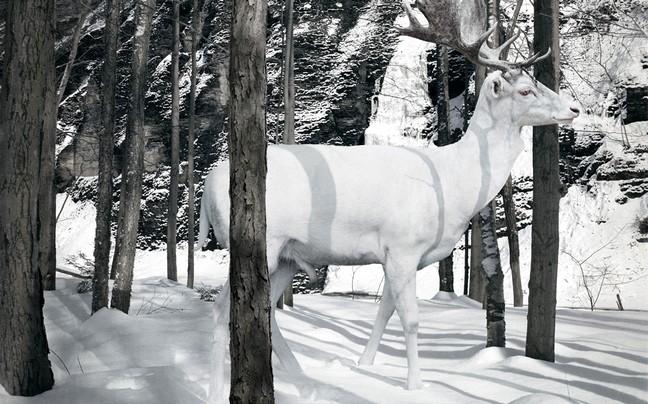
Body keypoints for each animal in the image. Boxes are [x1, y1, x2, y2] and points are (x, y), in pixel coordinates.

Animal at [204, 0, 584, 400]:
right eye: (525, 90)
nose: (574, 109)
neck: (454, 186)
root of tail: (209, 184)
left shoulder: (400, 256)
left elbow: (384, 311)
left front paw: (364, 367)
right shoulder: (403, 244)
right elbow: (411, 319)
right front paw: (416, 385)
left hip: (288, 257)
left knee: (267, 312)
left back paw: (302, 377)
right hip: (256, 242)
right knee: (221, 307)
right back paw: (216, 391)